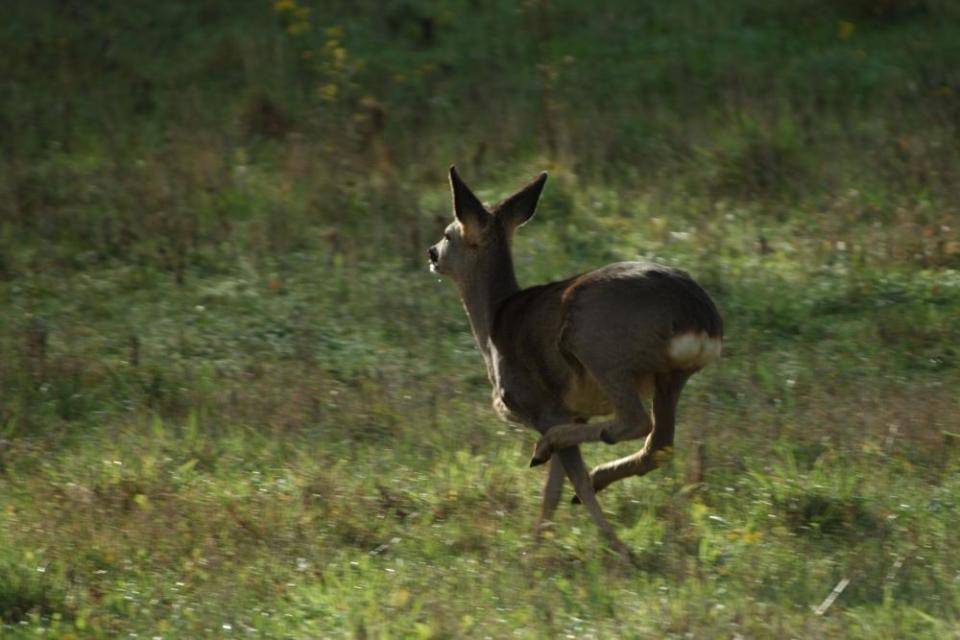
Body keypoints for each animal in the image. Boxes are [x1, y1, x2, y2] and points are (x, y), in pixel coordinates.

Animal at [428, 168, 720, 556]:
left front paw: (614, 549)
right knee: (660, 442)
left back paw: (556, 459)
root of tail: (699, 318)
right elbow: (553, 487)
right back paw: (592, 475)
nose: (431, 252)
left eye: (449, 233)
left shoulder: (542, 405)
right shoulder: (572, 411)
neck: (492, 325)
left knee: (633, 422)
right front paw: (539, 543)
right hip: (671, 375)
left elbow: (567, 479)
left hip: (597, 345)